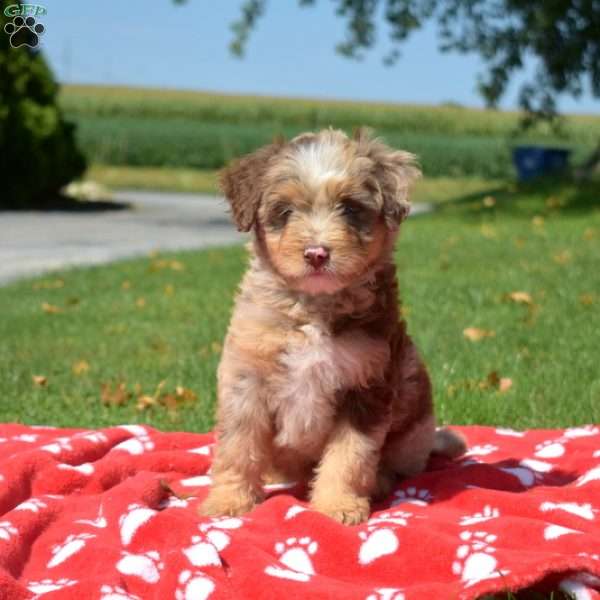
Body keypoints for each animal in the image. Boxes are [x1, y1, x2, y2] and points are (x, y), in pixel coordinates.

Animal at [199, 127, 466, 524]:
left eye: (351, 208)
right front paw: (228, 502)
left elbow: (350, 454)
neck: (314, 309)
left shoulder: (365, 385)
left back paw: (380, 482)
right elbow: (238, 446)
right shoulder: (247, 379)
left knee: (399, 465)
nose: (316, 253)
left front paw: (338, 505)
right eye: (285, 211)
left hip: (413, 431)